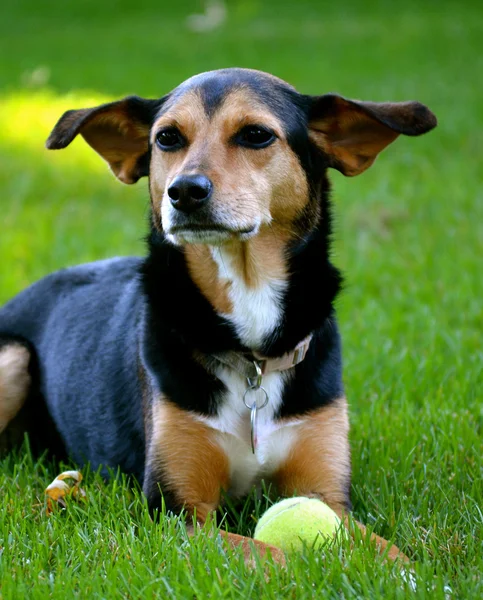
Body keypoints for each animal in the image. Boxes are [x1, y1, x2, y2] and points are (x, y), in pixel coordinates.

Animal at [0, 68, 436, 564]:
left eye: (256, 135)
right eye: (167, 138)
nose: (184, 191)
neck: (251, 347)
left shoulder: (327, 494)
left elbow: (389, 554)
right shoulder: (175, 511)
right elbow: (268, 553)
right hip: (13, 356)